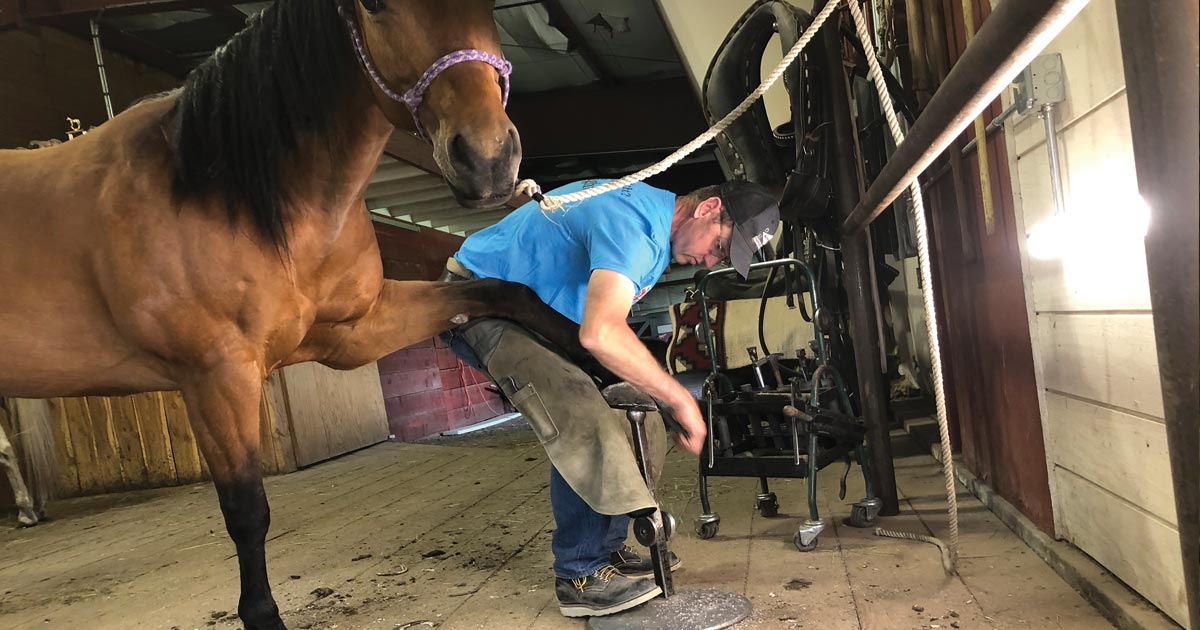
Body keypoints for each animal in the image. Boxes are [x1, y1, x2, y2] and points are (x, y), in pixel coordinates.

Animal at [0, 2, 585, 624]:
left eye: (491, 8)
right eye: (376, 7)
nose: (489, 160)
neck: (228, 191)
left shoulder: (354, 332)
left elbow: (507, 292)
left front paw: (603, 357)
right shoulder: (216, 376)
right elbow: (246, 509)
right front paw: (261, 614)